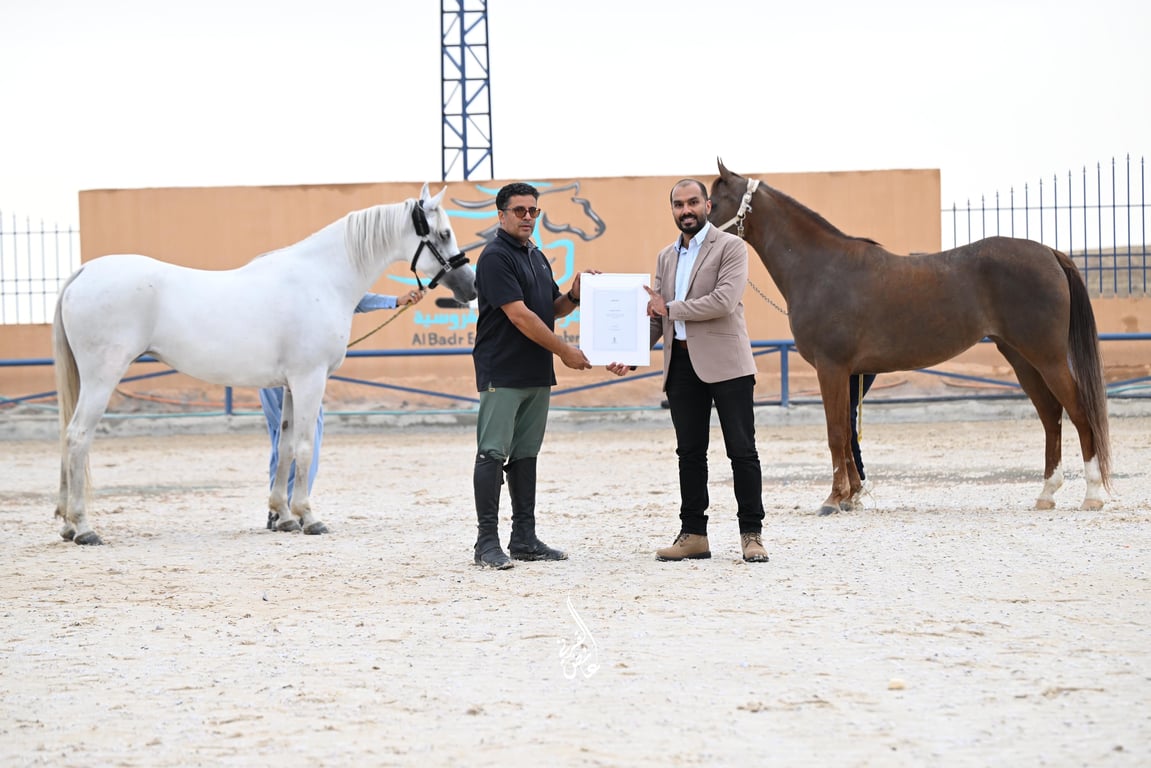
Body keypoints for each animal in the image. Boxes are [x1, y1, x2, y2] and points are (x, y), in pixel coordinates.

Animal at [52, 183, 475, 545]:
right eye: (443, 234)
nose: (469, 288)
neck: (322, 279)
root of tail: (84, 272)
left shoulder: (288, 385)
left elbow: (284, 447)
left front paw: (284, 517)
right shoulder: (310, 380)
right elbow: (304, 446)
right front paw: (309, 517)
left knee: (67, 438)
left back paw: (67, 525)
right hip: (102, 377)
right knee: (77, 437)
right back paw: (84, 527)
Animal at [708, 160, 1111, 515]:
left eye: (714, 200)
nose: (698, 233)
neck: (821, 269)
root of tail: (1050, 253)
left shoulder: (831, 368)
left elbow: (836, 432)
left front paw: (832, 499)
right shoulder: (848, 374)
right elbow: (847, 433)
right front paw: (850, 496)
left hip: (1048, 357)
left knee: (1078, 412)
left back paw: (1092, 494)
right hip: (1021, 358)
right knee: (1050, 415)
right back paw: (1046, 494)